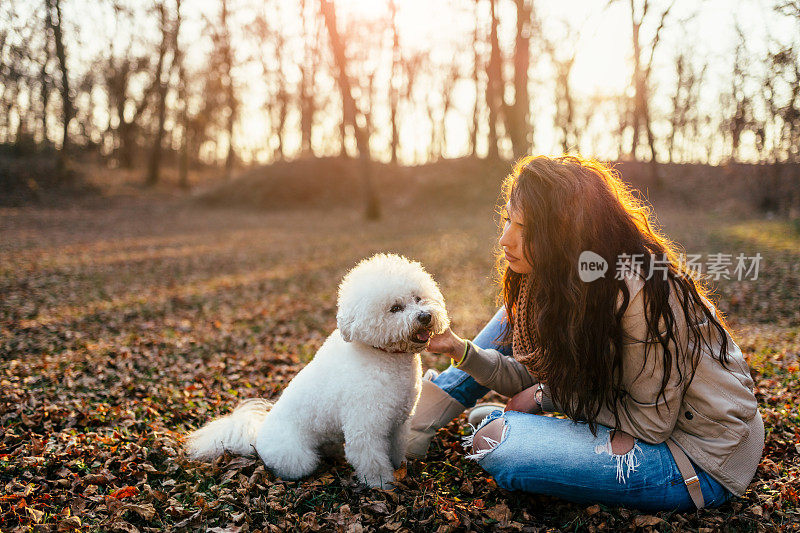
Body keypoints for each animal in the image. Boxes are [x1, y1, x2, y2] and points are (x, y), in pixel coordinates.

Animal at [186, 252, 450, 486]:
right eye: (395, 308)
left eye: (418, 298)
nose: (425, 316)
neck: (383, 355)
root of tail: (258, 435)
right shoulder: (365, 428)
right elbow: (373, 462)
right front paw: (383, 486)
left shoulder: (399, 423)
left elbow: (396, 450)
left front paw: (399, 469)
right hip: (297, 457)